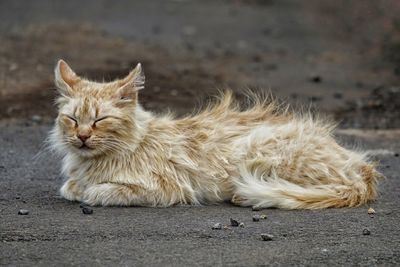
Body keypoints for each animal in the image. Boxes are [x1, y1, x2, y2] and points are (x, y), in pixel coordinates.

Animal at [50, 59, 382, 210]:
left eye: (100, 120)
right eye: (73, 119)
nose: (82, 136)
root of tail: (362, 171)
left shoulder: (166, 187)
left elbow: (105, 191)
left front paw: (92, 191)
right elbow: (69, 186)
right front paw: (77, 185)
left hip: (258, 148)